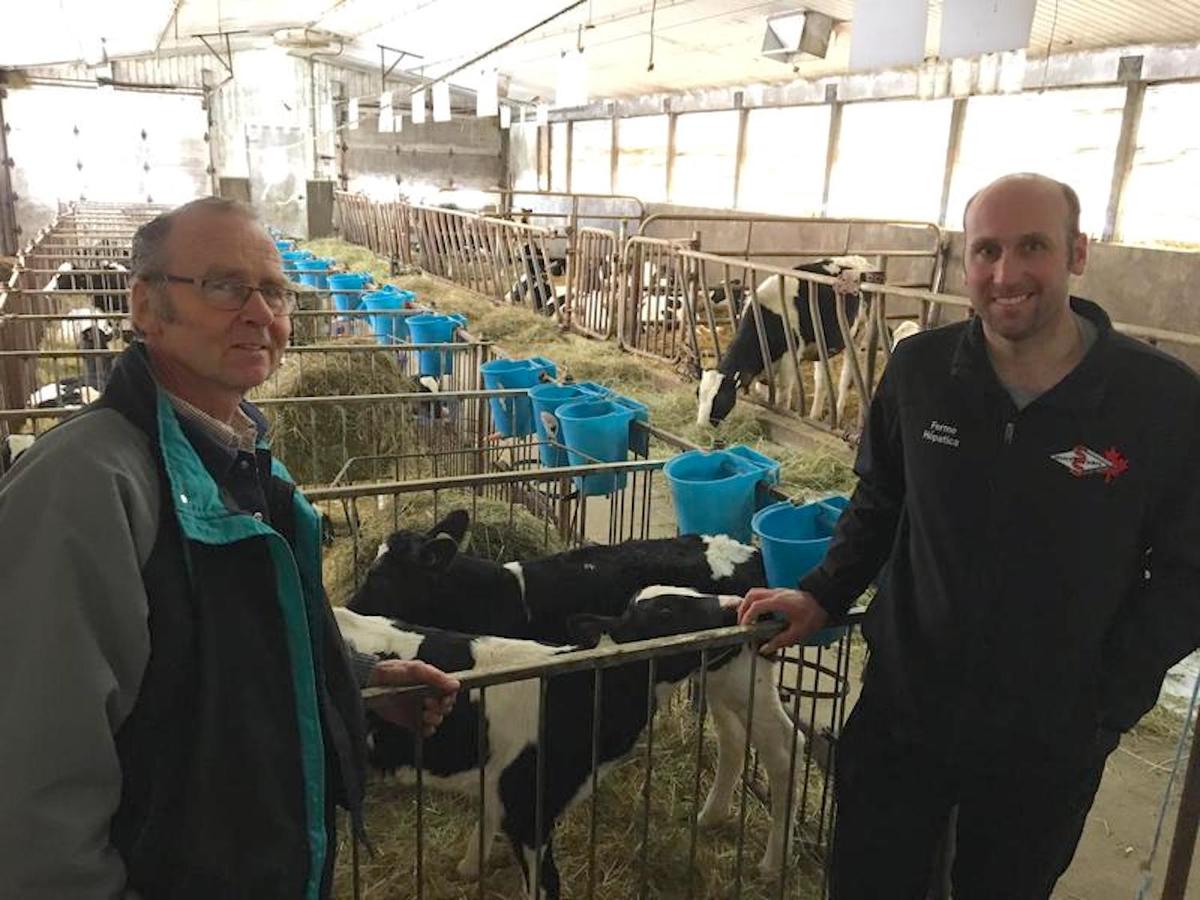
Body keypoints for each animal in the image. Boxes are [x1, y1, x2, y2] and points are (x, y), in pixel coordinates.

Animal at [696, 255, 873, 427]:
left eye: (720, 398)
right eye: (698, 393)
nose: (702, 428)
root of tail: (860, 260)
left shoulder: (789, 359)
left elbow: (783, 395)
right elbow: (765, 390)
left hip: (859, 336)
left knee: (846, 379)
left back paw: (836, 414)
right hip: (822, 345)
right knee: (821, 380)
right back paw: (815, 415)